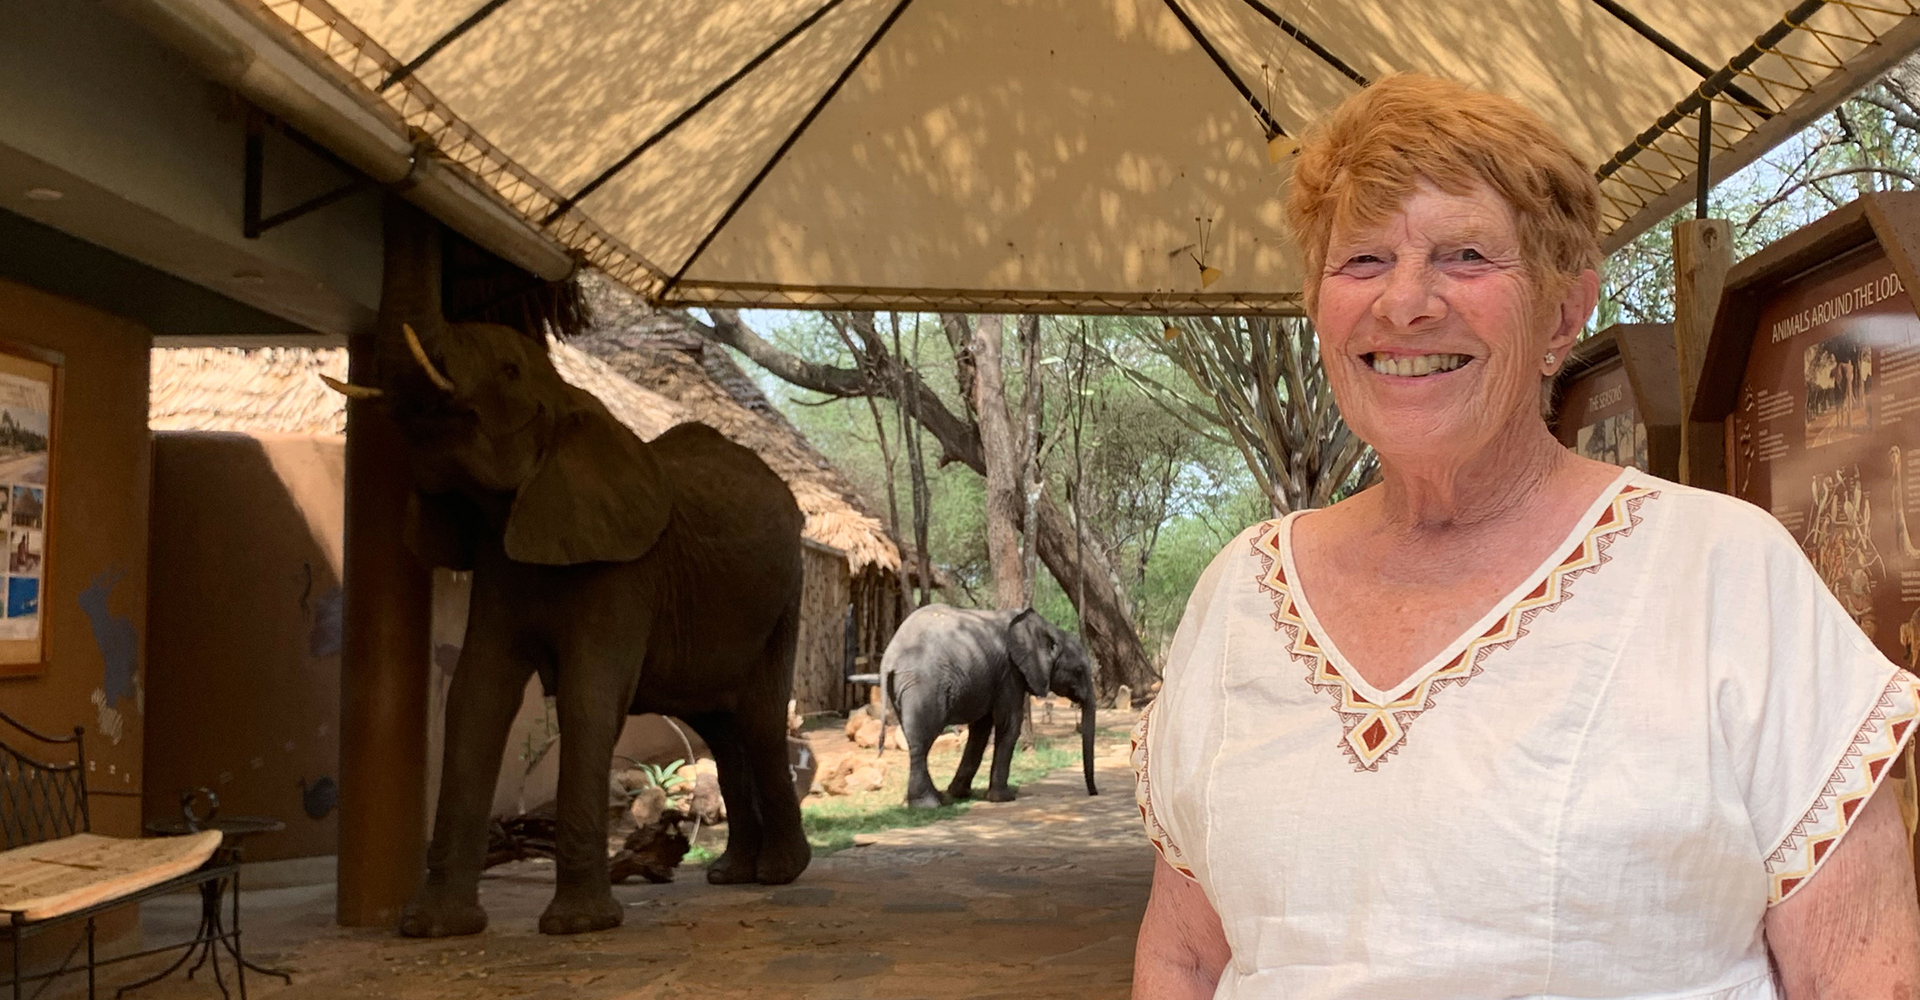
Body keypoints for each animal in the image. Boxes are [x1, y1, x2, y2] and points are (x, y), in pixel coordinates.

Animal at [328, 288, 810, 936]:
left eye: (509, 369)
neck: (568, 400)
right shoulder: (498, 563)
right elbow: (476, 696)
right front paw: (432, 929)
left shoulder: (624, 572)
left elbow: (589, 696)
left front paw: (579, 926)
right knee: (720, 726)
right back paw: (731, 876)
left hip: (785, 596)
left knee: (756, 720)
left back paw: (779, 875)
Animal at [878, 605, 1099, 809]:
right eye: (1079, 670)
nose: (1094, 793)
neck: (1049, 628)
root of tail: (889, 658)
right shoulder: (1010, 672)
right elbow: (1009, 724)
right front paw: (1004, 798)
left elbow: (981, 729)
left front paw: (959, 793)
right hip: (924, 686)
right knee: (922, 740)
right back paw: (928, 804)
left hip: (902, 689)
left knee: (915, 738)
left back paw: (934, 799)